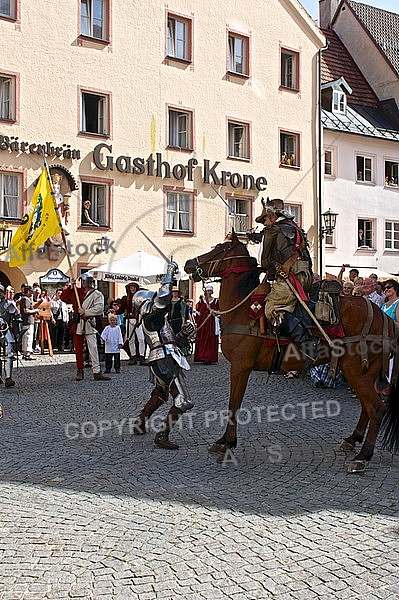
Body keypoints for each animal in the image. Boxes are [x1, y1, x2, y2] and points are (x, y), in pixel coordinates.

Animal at [186, 230, 399, 474]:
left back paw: (363, 456)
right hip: (363, 373)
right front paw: (225, 440)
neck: (243, 308)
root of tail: (385, 317)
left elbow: (233, 404)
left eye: (219, 249)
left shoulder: (241, 367)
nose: (189, 264)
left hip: (356, 371)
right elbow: (233, 404)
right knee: (368, 407)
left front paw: (227, 442)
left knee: (376, 408)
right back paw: (352, 439)